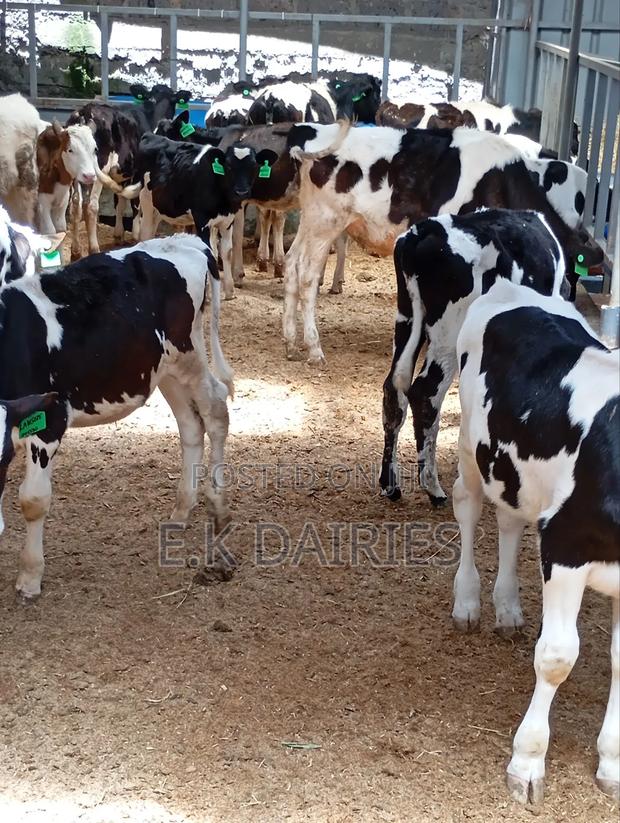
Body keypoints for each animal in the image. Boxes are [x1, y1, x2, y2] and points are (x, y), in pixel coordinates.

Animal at [0, 216, 233, 603]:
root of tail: (187, 241)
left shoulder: (51, 417)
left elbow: (33, 500)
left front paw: (30, 576)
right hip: (163, 366)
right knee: (190, 424)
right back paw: (182, 508)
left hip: (187, 352)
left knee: (215, 408)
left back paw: (217, 507)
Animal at [281, 122, 601, 364]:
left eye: (567, 283)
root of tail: (312, 131)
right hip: (326, 221)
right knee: (308, 275)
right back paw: (313, 348)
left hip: (312, 221)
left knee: (292, 264)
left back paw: (290, 341)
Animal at [380, 209, 568, 506]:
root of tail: (425, 231)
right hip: (447, 333)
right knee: (425, 394)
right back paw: (432, 487)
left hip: (407, 319)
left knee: (394, 389)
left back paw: (390, 484)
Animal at [453, 278, 619, 804]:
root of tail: (510, 287)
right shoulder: (566, 545)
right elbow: (557, 657)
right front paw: (527, 762)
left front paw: (611, 764)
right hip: (471, 443)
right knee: (467, 503)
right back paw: (467, 601)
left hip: (514, 470)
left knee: (509, 521)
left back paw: (507, 608)